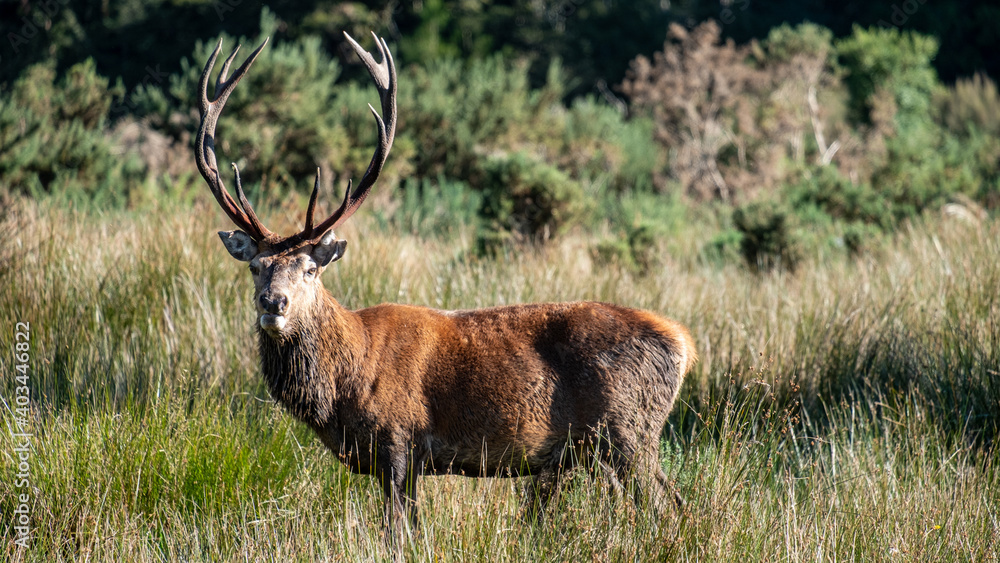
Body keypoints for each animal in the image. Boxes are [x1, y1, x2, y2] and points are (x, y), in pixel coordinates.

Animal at [195, 32, 697, 547]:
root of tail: (684, 344)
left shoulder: (398, 439)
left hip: (628, 431)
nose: (273, 302)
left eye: (310, 269)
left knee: (666, 506)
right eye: (256, 266)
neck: (347, 380)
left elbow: (397, 532)